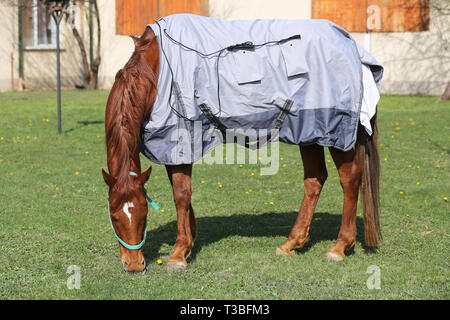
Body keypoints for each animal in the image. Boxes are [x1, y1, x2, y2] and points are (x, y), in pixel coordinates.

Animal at [103, 20, 382, 272]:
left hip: (335, 132)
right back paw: (291, 243)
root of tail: (351, 45)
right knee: (315, 179)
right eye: (114, 217)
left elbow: (181, 194)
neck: (158, 69)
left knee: (349, 178)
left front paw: (179, 253)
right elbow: (181, 192)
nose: (133, 265)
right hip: (311, 131)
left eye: (144, 214)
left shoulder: (181, 140)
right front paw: (190, 238)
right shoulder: (171, 149)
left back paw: (339, 246)